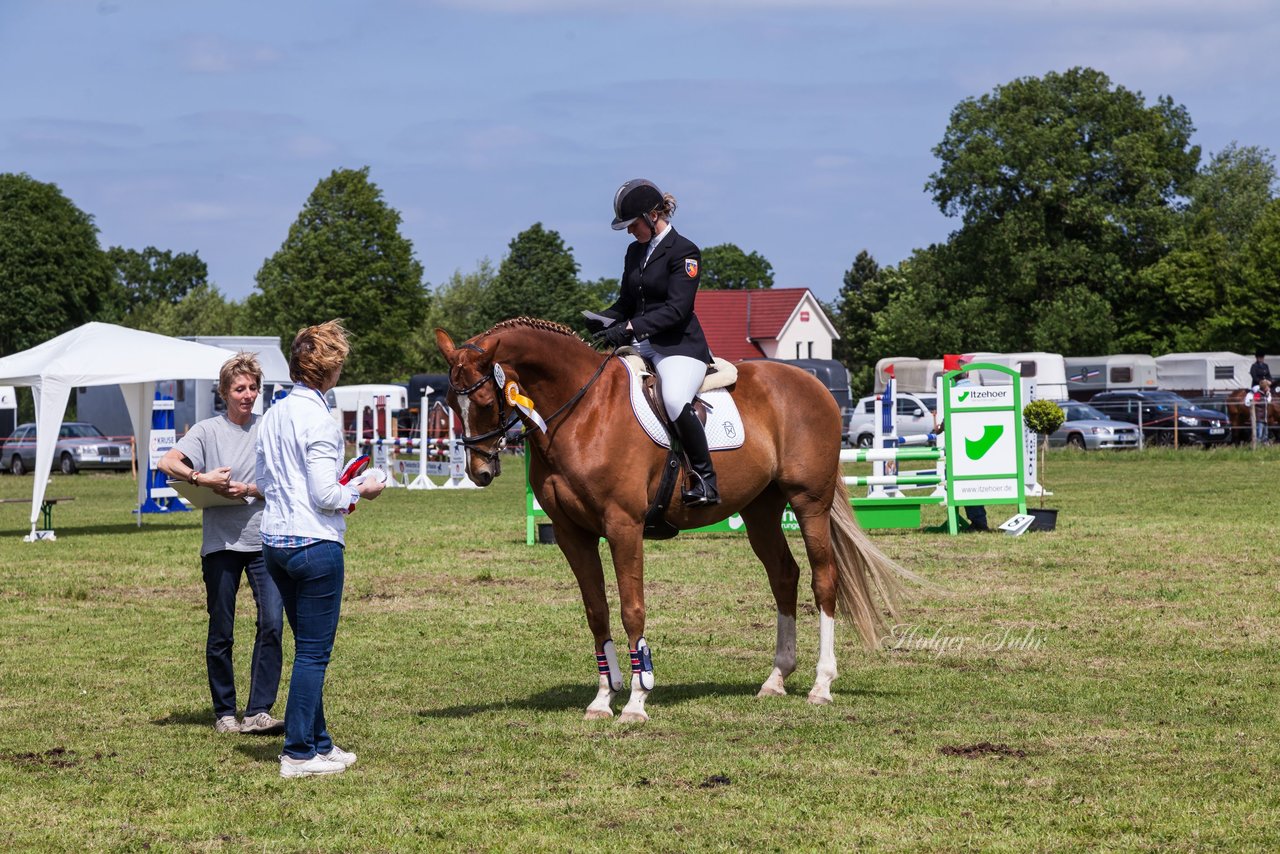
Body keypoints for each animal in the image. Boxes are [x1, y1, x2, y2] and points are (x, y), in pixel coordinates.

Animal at [437, 318, 911, 722]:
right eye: (450, 404)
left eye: (484, 400)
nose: (479, 472)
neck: (582, 411)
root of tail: (813, 386)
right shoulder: (574, 534)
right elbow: (596, 611)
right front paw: (602, 699)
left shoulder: (623, 527)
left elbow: (632, 609)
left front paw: (636, 700)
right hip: (760, 509)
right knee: (784, 576)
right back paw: (776, 679)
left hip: (809, 502)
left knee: (823, 578)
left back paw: (821, 685)